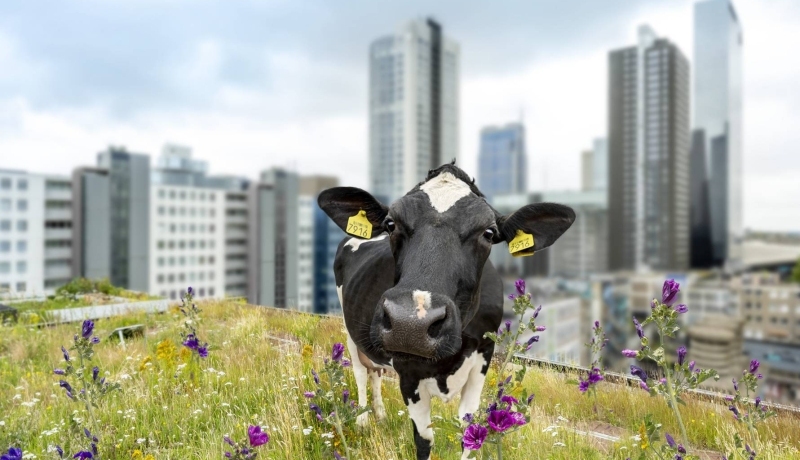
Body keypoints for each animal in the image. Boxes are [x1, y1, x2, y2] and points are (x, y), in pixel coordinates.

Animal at [318, 162, 575, 460]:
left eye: (488, 233)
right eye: (391, 223)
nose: (411, 324)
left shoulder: (482, 359)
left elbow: (469, 433)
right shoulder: (408, 372)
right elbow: (424, 439)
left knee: (375, 373)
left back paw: (380, 415)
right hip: (350, 330)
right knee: (361, 372)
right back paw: (362, 420)